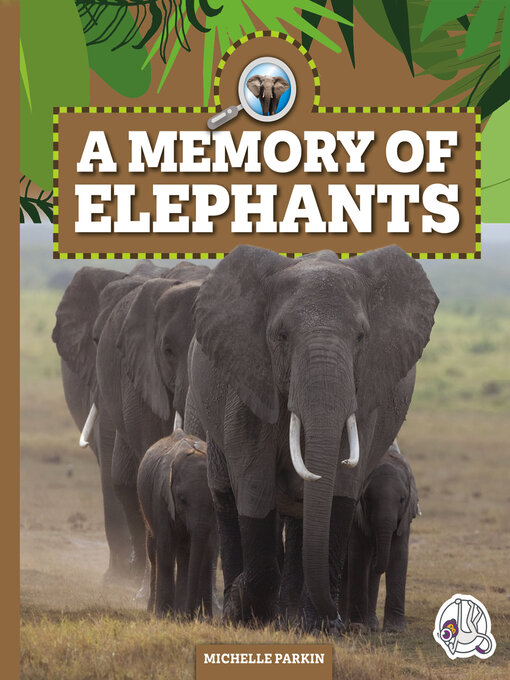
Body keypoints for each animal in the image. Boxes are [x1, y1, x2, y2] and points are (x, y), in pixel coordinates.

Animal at [137, 429, 217, 618]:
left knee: (183, 556)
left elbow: (207, 551)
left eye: (213, 501)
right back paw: (154, 610)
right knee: (154, 552)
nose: (191, 614)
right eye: (182, 500)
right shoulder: (161, 498)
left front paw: (203, 618)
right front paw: (163, 615)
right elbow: (166, 547)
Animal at [340, 442, 419, 633]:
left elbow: (398, 554)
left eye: (402, 499)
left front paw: (396, 631)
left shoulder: (405, 516)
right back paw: (349, 624)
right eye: (367, 498)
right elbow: (360, 555)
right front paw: (359, 628)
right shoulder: (357, 515)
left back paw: (371, 625)